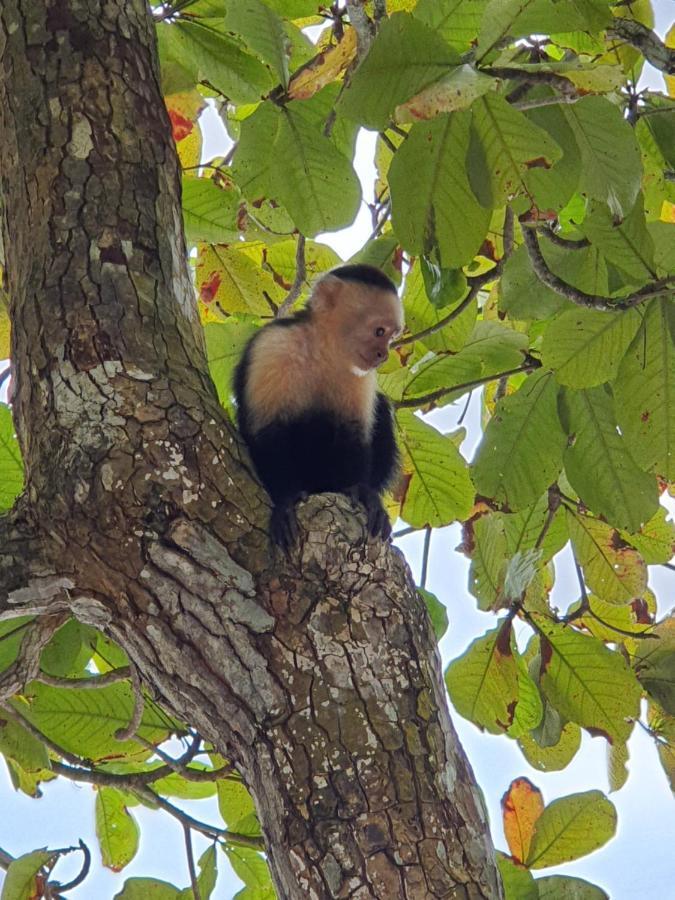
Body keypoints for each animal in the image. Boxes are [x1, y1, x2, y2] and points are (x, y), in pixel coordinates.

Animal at [235, 264, 404, 548]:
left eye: (391, 337)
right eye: (379, 331)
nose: (383, 355)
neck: (324, 349)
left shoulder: (360, 375)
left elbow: (354, 432)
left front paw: (360, 491)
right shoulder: (274, 345)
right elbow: (267, 430)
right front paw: (286, 499)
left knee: (381, 407)